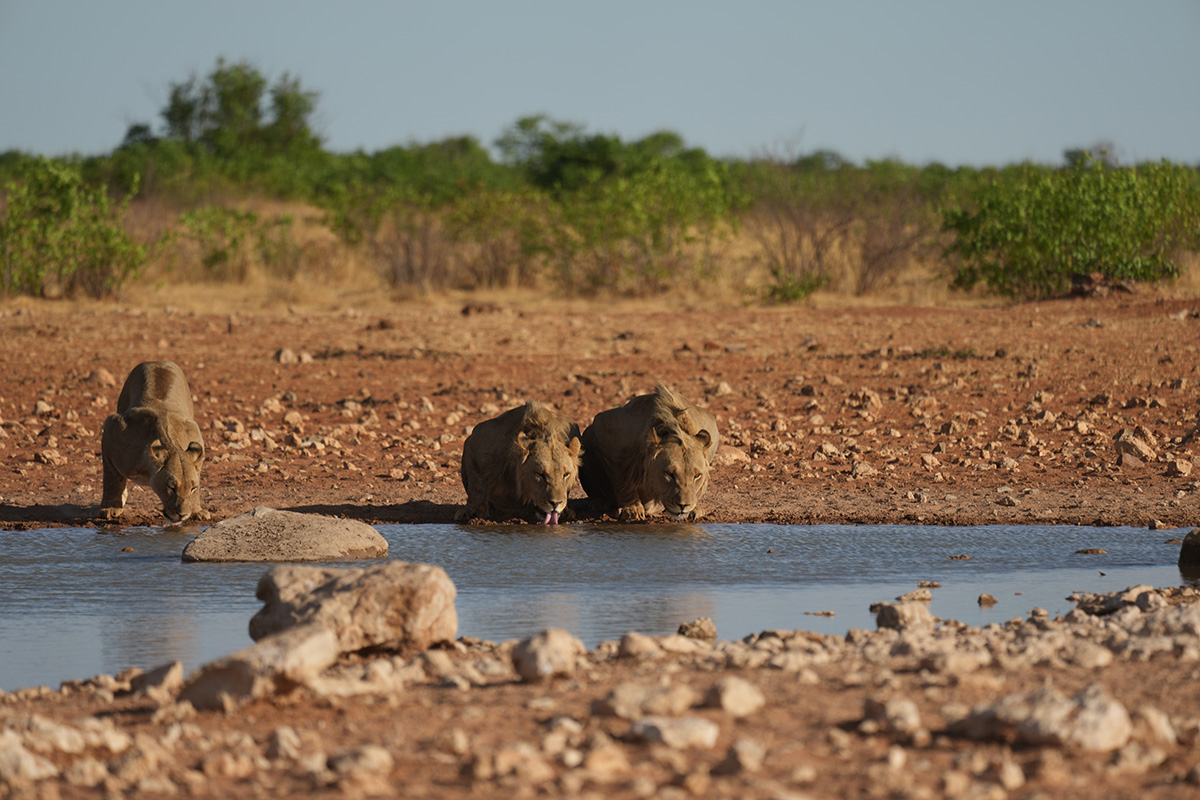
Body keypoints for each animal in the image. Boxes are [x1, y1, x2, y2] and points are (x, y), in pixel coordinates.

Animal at [101, 361, 205, 523]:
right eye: (171, 487)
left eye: (192, 488)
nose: (182, 515)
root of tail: (158, 361)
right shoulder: (112, 428)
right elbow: (112, 478)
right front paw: (110, 508)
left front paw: (196, 511)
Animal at [579, 384, 719, 521]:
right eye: (669, 474)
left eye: (697, 476)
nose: (683, 505)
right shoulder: (605, 427)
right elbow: (621, 476)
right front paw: (632, 508)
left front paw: (693, 508)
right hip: (586, 437)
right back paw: (599, 503)